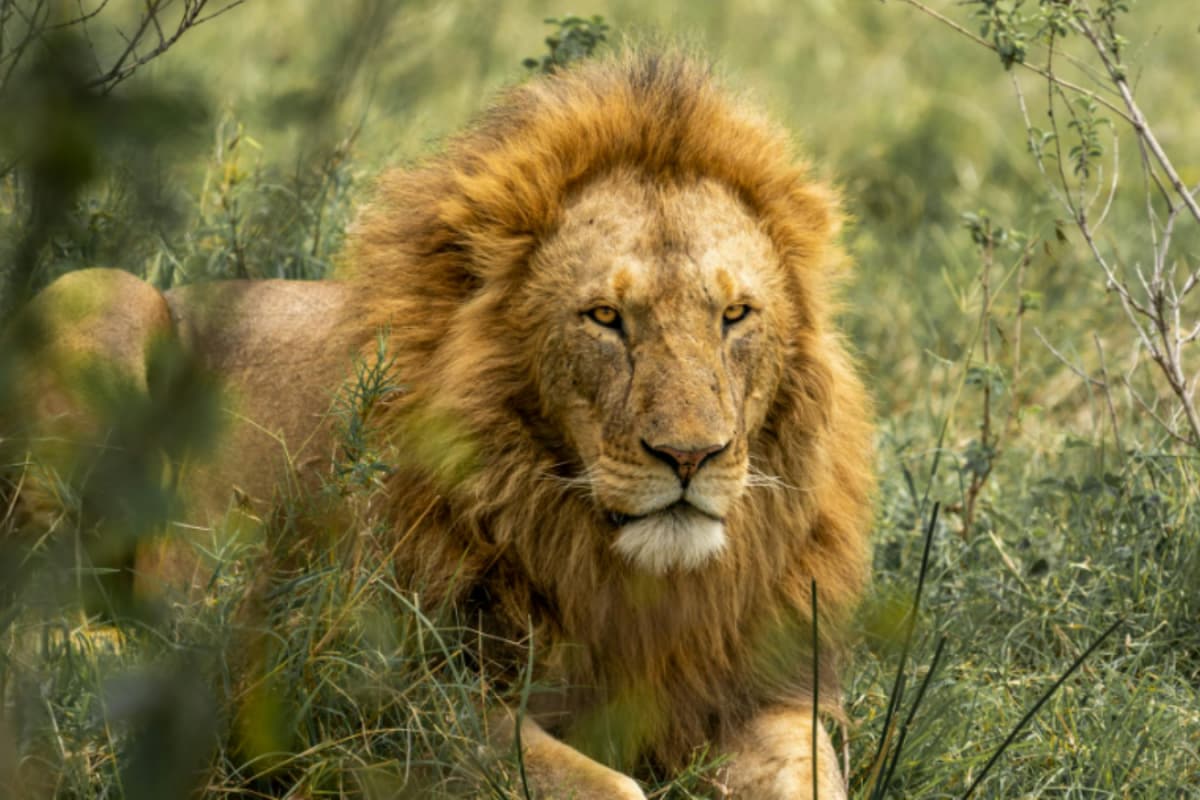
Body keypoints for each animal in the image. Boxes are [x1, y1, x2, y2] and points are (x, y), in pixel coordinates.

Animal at [10, 52, 874, 798]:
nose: (691, 456)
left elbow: (814, 776)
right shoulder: (374, 697)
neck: (611, 570)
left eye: (734, 315)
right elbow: (604, 786)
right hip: (97, 300)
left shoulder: (761, 688)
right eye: (604, 318)